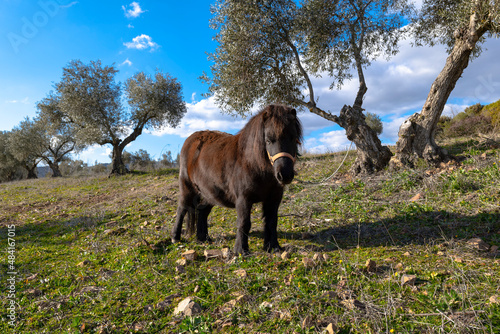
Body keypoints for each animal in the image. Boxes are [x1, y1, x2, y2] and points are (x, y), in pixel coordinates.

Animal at [172, 103, 302, 254]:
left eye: (293, 138)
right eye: (269, 140)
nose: (284, 174)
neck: (252, 162)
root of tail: (190, 140)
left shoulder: (274, 199)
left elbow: (271, 221)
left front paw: (273, 247)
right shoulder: (243, 199)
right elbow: (244, 222)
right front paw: (241, 250)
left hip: (210, 194)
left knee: (202, 212)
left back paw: (203, 239)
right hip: (187, 188)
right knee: (182, 209)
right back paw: (175, 237)